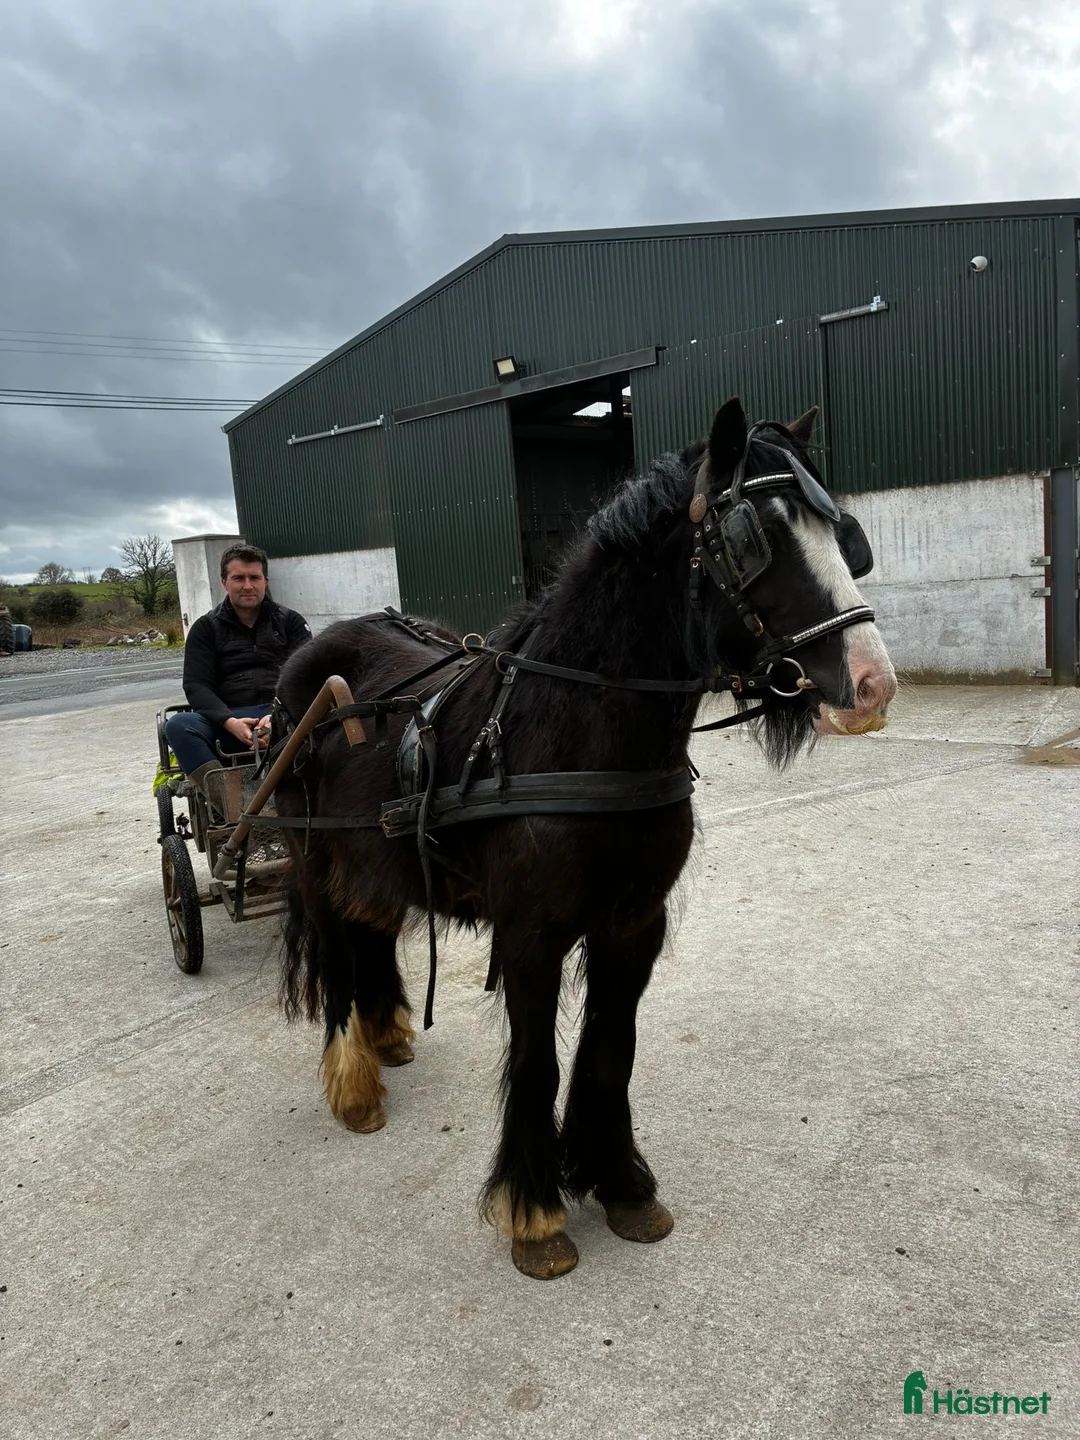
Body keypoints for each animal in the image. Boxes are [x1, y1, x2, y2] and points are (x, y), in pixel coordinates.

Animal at [274, 397, 896, 1279]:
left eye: (842, 531)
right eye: (753, 538)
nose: (873, 684)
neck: (574, 729)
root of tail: (319, 653)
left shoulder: (633, 925)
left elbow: (611, 1050)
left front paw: (620, 1184)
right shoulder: (530, 935)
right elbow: (538, 1061)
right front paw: (535, 1212)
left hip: (375, 853)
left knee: (374, 931)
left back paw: (387, 1031)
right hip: (313, 853)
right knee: (334, 951)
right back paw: (353, 1081)